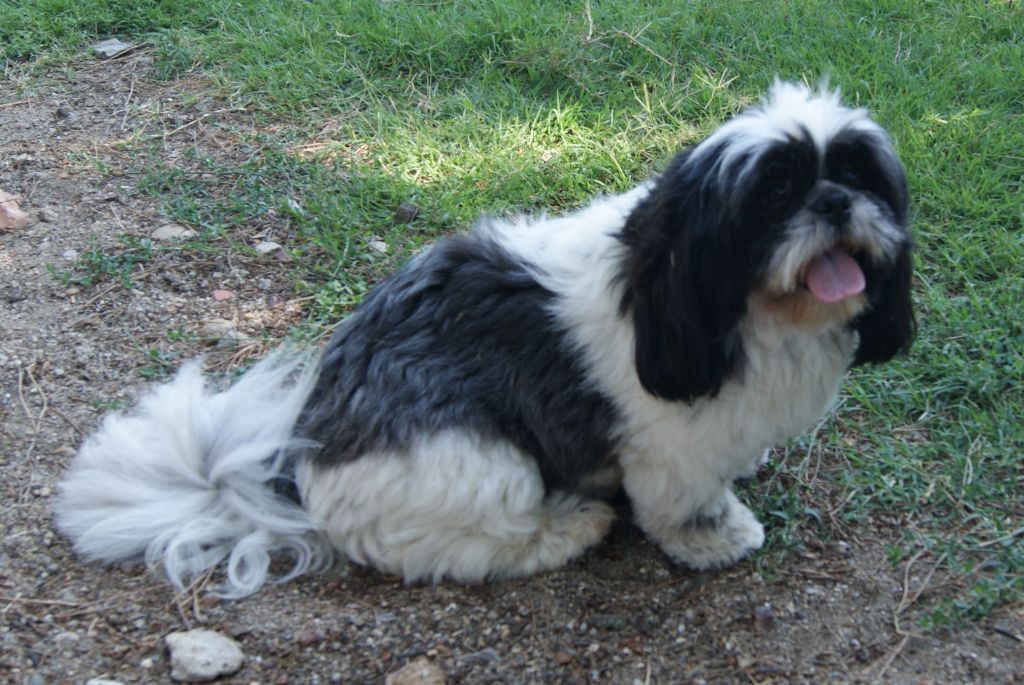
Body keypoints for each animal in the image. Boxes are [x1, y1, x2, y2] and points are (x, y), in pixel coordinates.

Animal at [56, 81, 913, 597]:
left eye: (858, 175)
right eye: (772, 195)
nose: (834, 202)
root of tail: (298, 457)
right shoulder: (671, 445)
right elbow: (685, 503)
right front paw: (717, 535)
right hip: (478, 461)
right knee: (471, 545)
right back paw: (570, 524)